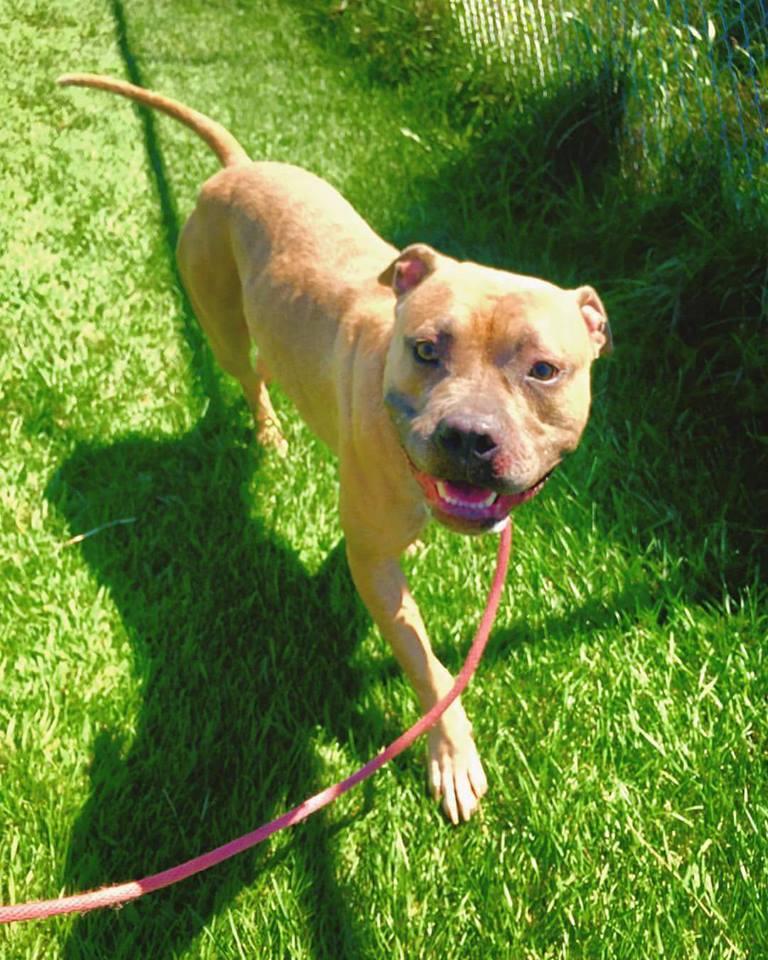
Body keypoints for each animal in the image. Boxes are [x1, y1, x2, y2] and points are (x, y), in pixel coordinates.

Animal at [58, 75, 612, 824]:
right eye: (426, 349)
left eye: (545, 370)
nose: (469, 436)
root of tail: (236, 169)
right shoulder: (373, 565)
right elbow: (431, 667)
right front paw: (451, 754)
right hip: (222, 324)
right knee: (251, 377)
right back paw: (269, 434)